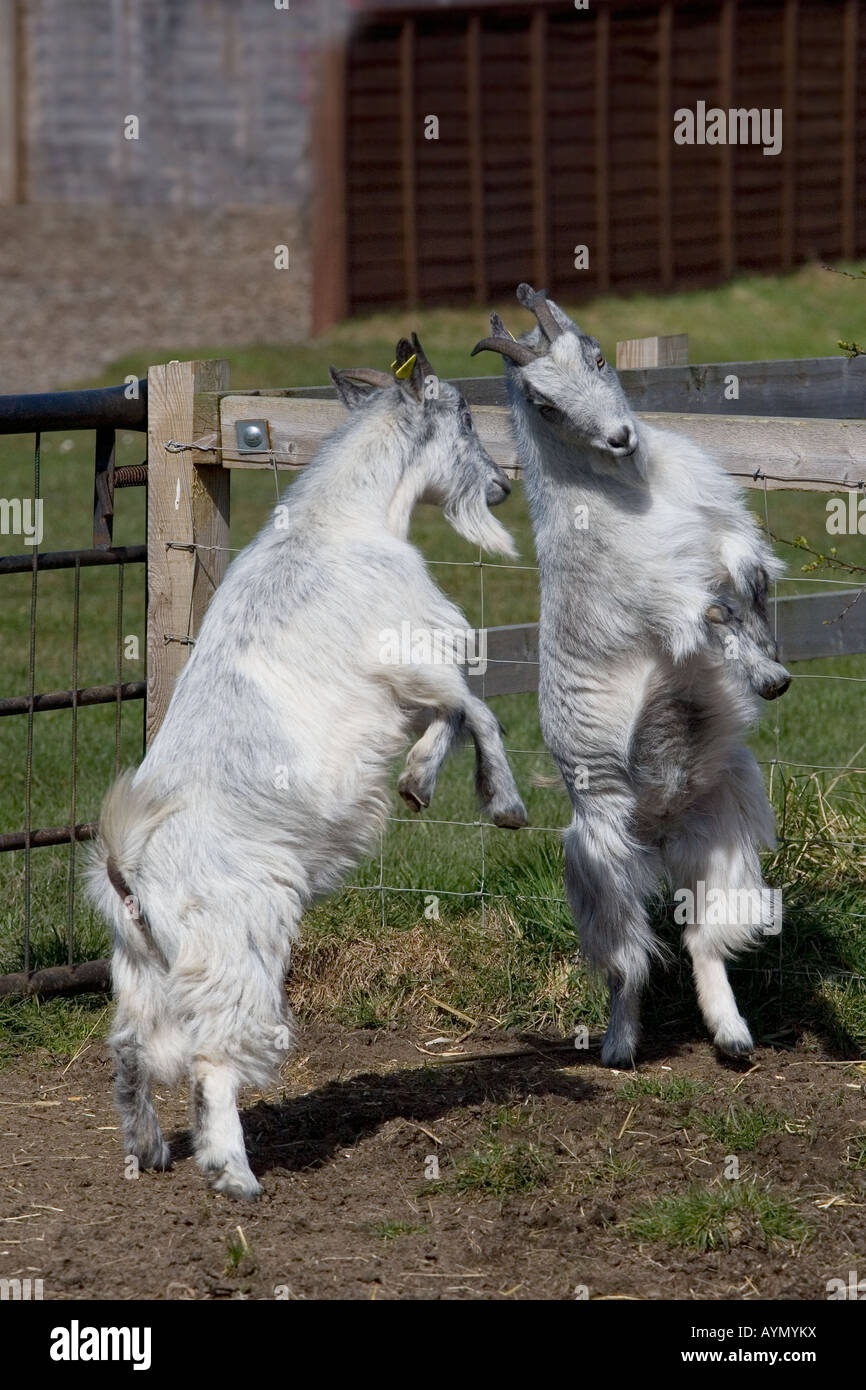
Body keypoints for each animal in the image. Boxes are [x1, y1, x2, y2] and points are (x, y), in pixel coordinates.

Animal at [91, 341, 530, 1200]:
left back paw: (148, 1150)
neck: (343, 522)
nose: (503, 485)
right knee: (213, 1057)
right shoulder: (409, 655)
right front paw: (501, 803)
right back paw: (233, 1173)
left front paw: (418, 782)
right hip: (236, 946)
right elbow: (477, 709)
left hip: (146, 968)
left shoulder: (397, 693)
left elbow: (452, 717)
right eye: (465, 414)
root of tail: (130, 872)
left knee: (129, 1049)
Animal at [478, 282, 789, 1061]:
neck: (629, 486)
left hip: (726, 834)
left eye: (596, 355)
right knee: (629, 960)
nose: (621, 436)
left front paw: (767, 658)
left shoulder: (717, 530)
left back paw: (732, 1036)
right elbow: (707, 612)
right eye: (543, 403)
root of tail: (659, 826)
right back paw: (620, 1045)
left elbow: (742, 572)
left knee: (703, 937)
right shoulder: (655, 590)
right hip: (600, 857)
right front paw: (760, 672)